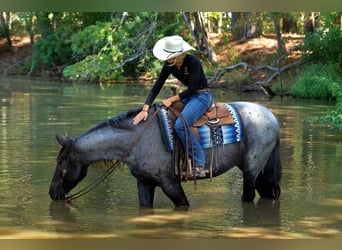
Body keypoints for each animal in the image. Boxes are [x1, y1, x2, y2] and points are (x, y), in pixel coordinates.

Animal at [49, 101, 282, 207]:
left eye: (61, 162)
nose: (52, 193)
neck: (136, 141)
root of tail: (272, 117)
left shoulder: (170, 183)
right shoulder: (144, 183)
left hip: (251, 170)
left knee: (248, 196)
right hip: (257, 171)